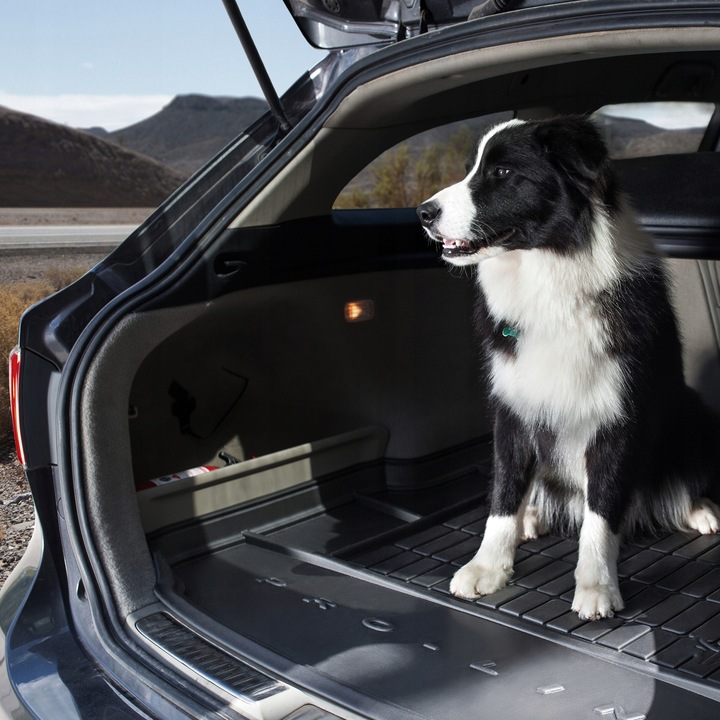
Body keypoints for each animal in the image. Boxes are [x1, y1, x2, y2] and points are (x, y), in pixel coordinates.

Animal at [420, 116, 720, 620]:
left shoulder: (618, 414)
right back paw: (533, 516)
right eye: (469, 170)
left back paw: (697, 509)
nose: (423, 213)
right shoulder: (512, 407)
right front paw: (488, 566)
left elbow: (601, 513)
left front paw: (596, 586)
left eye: (502, 173)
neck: (550, 277)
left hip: (694, 412)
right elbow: (503, 495)